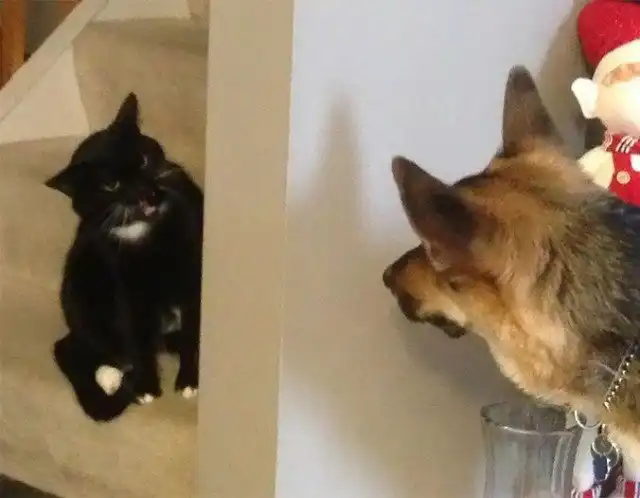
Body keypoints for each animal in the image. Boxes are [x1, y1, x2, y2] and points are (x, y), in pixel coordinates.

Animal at [46, 93, 204, 422]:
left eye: (142, 159)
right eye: (111, 185)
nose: (146, 192)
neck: (148, 233)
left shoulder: (192, 279)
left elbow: (191, 331)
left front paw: (188, 381)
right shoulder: (127, 289)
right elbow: (137, 337)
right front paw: (146, 388)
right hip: (81, 285)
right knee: (70, 345)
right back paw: (113, 377)